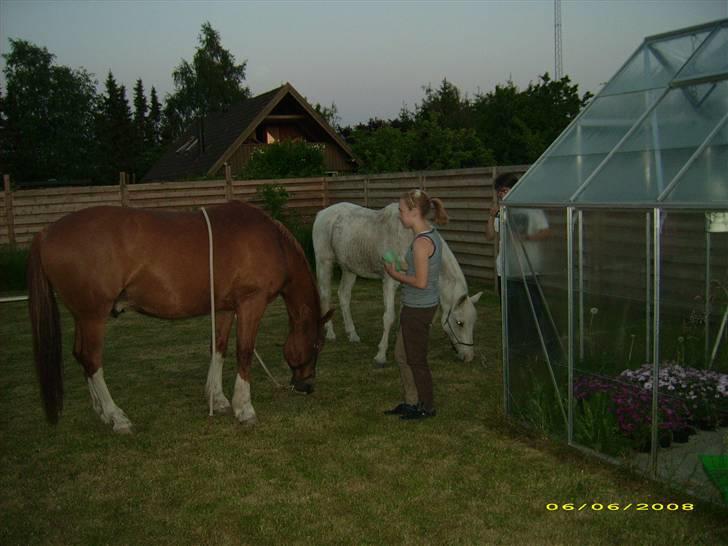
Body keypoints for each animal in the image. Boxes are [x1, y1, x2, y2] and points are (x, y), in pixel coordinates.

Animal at [26, 198, 332, 432]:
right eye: (317, 344)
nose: (307, 386)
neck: (273, 241)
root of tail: (46, 233)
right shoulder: (250, 303)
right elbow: (244, 352)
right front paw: (244, 408)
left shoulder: (224, 307)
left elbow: (218, 348)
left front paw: (217, 399)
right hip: (93, 316)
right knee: (91, 360)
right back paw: (116, 416)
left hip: (82, 316)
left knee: (79, 355)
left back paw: (101, 412)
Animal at [310, 202, 480, 364]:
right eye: (460, 322)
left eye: (473, 323)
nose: (468, 357)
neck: (410, 239)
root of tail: (322, 213)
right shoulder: (390, 282)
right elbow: (389, 317)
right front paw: (381, 355)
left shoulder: (408, 284)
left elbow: (403, 315)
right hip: (324, 263)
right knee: (325, 296)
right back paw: (330, 333)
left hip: (349, 268)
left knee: (344, 296)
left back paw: (353, 335)